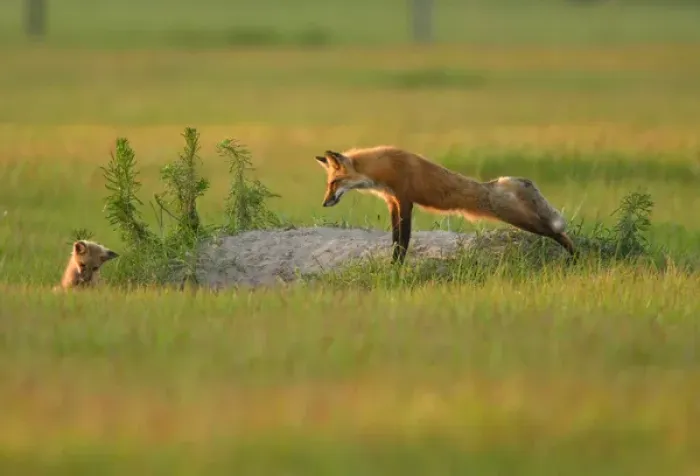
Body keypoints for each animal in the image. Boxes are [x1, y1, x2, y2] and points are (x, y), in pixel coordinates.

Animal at [314, 145, 575, 264]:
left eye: (334, 182)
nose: (324, 203)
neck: (383, 168)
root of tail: (496, 183)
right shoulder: (393, 203)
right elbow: (396, 239)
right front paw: (394, 265)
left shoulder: (405, 201)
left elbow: (403, 241)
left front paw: (396, 267)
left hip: (519, 219)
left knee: (556, 231)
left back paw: (576, 255)